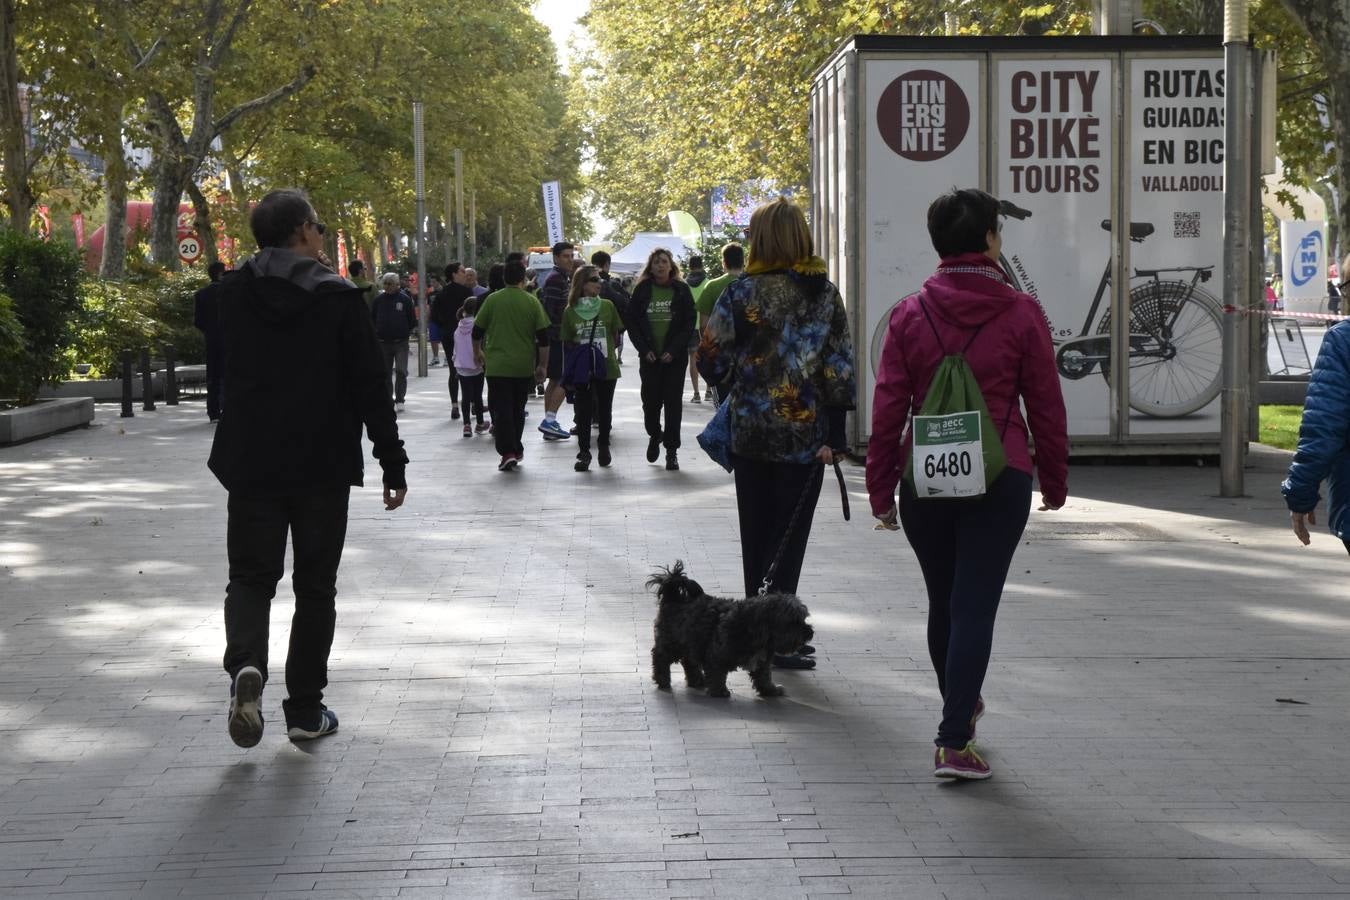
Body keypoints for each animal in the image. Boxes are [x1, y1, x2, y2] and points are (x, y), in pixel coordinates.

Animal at [645, 558, 810, 701]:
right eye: (792, 622)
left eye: (803, 619)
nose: (809, 633)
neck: (754, 628)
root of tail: (673, 596)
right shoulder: (717, 655)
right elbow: (717, 674)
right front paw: (719, 691)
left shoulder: (762, 662)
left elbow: (764, 677)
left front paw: (770, 690)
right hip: (672, 641)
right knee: (660, 657)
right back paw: (662, 679)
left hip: (691, 640)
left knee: (688, 660)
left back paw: (696, 679)